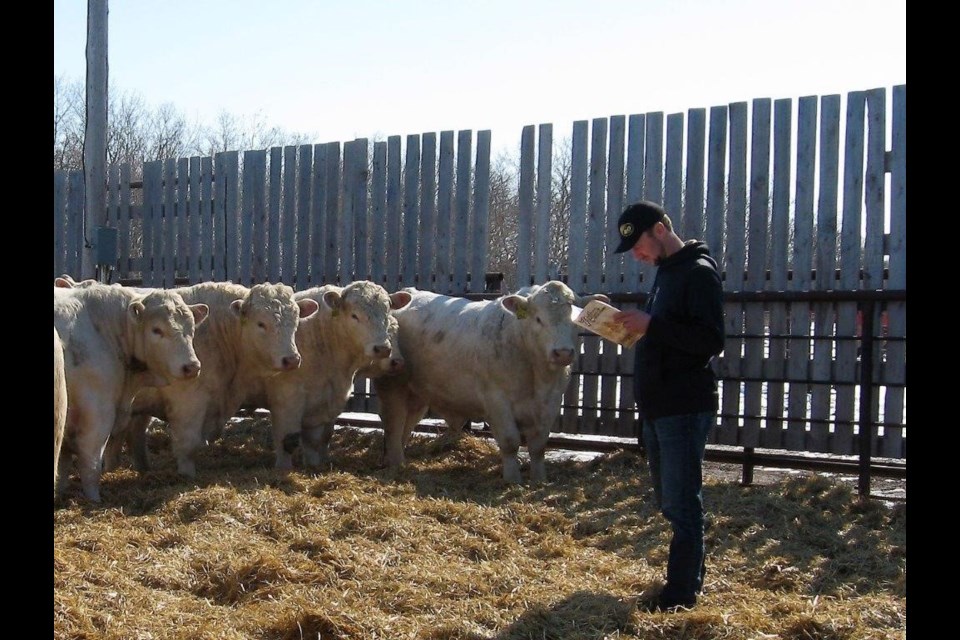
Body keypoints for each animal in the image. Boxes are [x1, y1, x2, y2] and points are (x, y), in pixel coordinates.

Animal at [376, 282, 608, 482]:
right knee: (394, 422)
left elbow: (538, 445)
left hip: (418, 394)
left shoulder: (550, 403)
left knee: (406, 424)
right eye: (538, 319)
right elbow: (510, 441)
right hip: (393, 386)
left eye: (575, 319)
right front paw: (512, 479)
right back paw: (395, 463)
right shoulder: (497, 401)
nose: (563, 353)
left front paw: (539, 478)